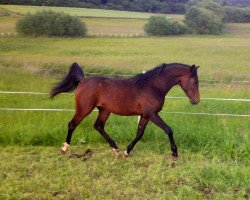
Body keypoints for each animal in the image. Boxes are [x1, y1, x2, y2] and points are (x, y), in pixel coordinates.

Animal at [50, 61, 199, 160]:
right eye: (195, 81)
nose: (196, 101)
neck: (153, 87)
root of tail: (82, 80)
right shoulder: (152, 114)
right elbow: (168, 130)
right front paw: (175, 153)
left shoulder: (145, 115)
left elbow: (139, 134)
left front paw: (127, 151)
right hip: (84, 109)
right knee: (72, 124)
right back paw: (64, 148)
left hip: (104, 110)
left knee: (98, 126)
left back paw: (116, 149)